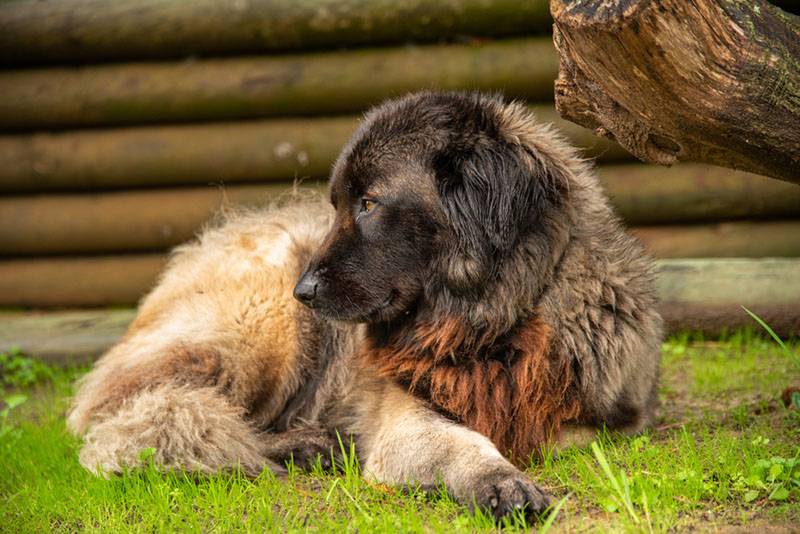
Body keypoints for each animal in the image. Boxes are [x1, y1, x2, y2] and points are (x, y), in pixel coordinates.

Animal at [69, 93, 660, 524]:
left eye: (369, 204)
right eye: (337, 206)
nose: (304, 290)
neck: (489, 325)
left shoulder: (609, 418)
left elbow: (565, 434)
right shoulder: (408, 419)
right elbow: (463, 442)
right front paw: (497, 480)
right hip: (267, 333)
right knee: (148, 425)